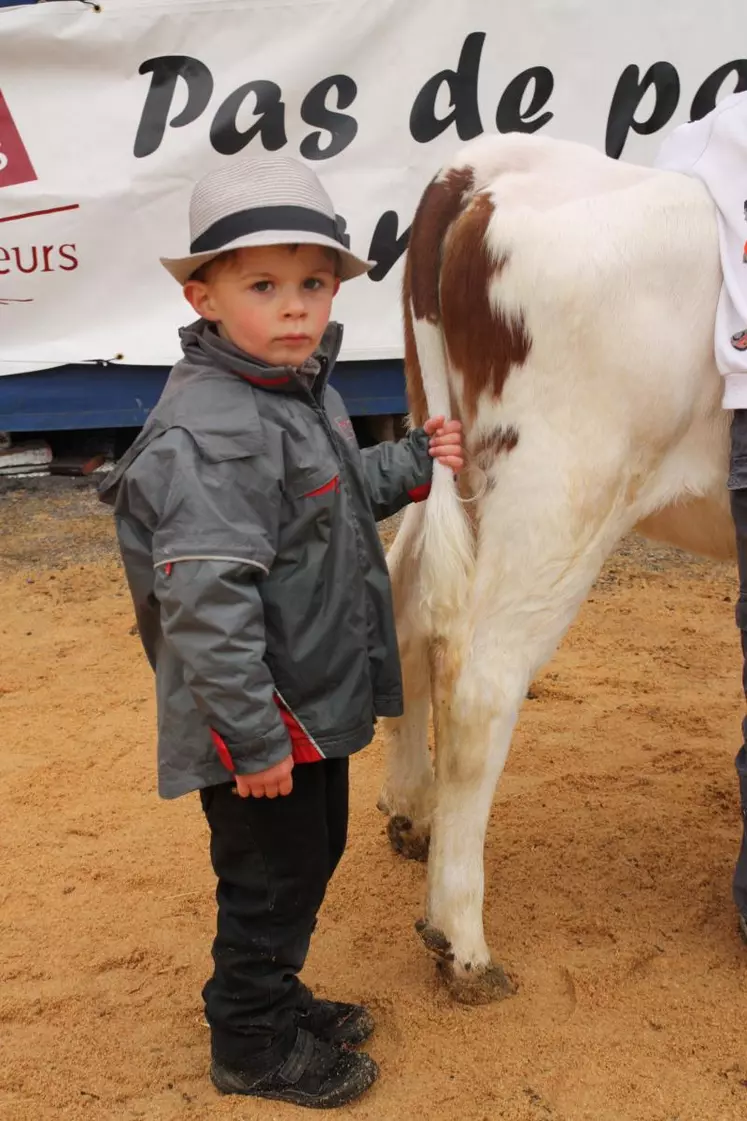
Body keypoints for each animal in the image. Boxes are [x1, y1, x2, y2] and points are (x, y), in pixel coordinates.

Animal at [379, 133, 731, 1008]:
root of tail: (484, 169)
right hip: (559, 494)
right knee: (481, 683)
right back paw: (461, 944)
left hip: (445, 450)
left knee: (403, 602)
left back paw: (413, 813)